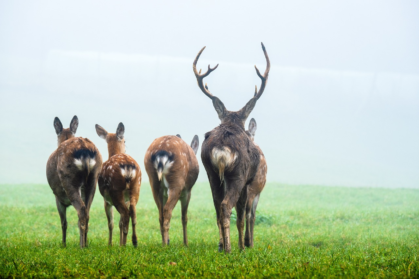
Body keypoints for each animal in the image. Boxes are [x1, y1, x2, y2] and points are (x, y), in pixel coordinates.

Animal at [46, 116, 102, 249]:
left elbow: (64, 223)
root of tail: (85, 152)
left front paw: (63, 244)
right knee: (87, 211)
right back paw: (85, 244)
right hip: (93, 179)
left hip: (69, 179)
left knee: (81, 211)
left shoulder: (58, 199)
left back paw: (81, 246)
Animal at [194, 42, 272, 254]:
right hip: (237, 175)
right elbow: (242, 215)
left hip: (211, 173)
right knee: (227, 206)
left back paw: (222, 246)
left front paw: (225, 244)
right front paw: (242, 246)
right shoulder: (247, 181)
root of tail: (221, 148)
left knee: (217, 207)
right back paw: (230, 248)